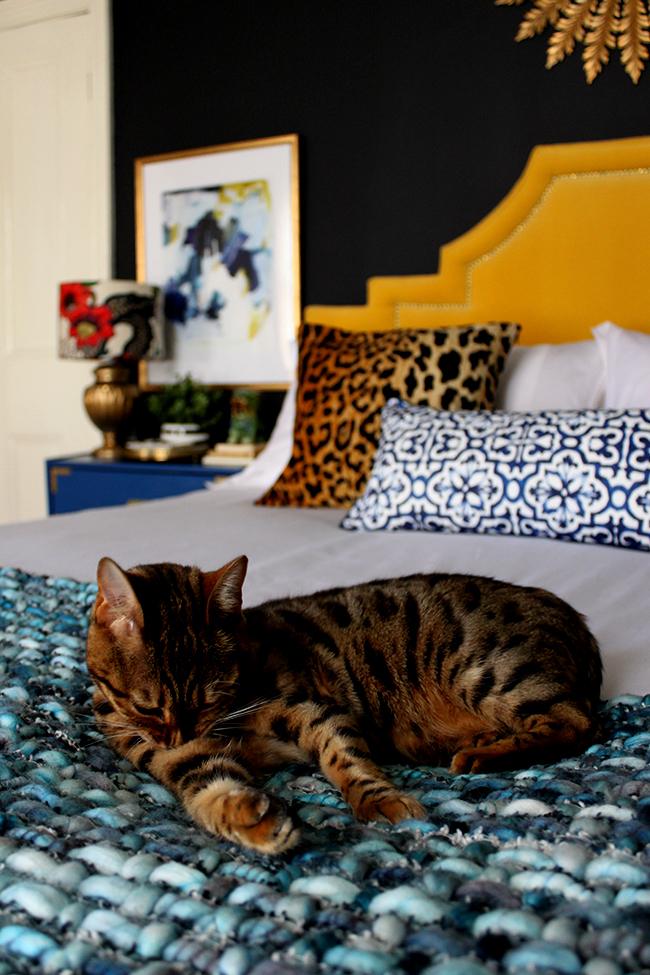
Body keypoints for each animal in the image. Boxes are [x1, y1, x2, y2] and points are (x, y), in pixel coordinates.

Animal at [86, 556, 604, 856]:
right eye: (148, 708)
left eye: (210, 697)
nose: (184, 732)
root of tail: (578, 621)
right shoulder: (174, 755)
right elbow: (210, 788)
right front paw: (252, 820)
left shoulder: (313, 710)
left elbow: (346, 759)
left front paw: (382, 801)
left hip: (488, 670)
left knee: (576, 720)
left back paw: (482, 754)